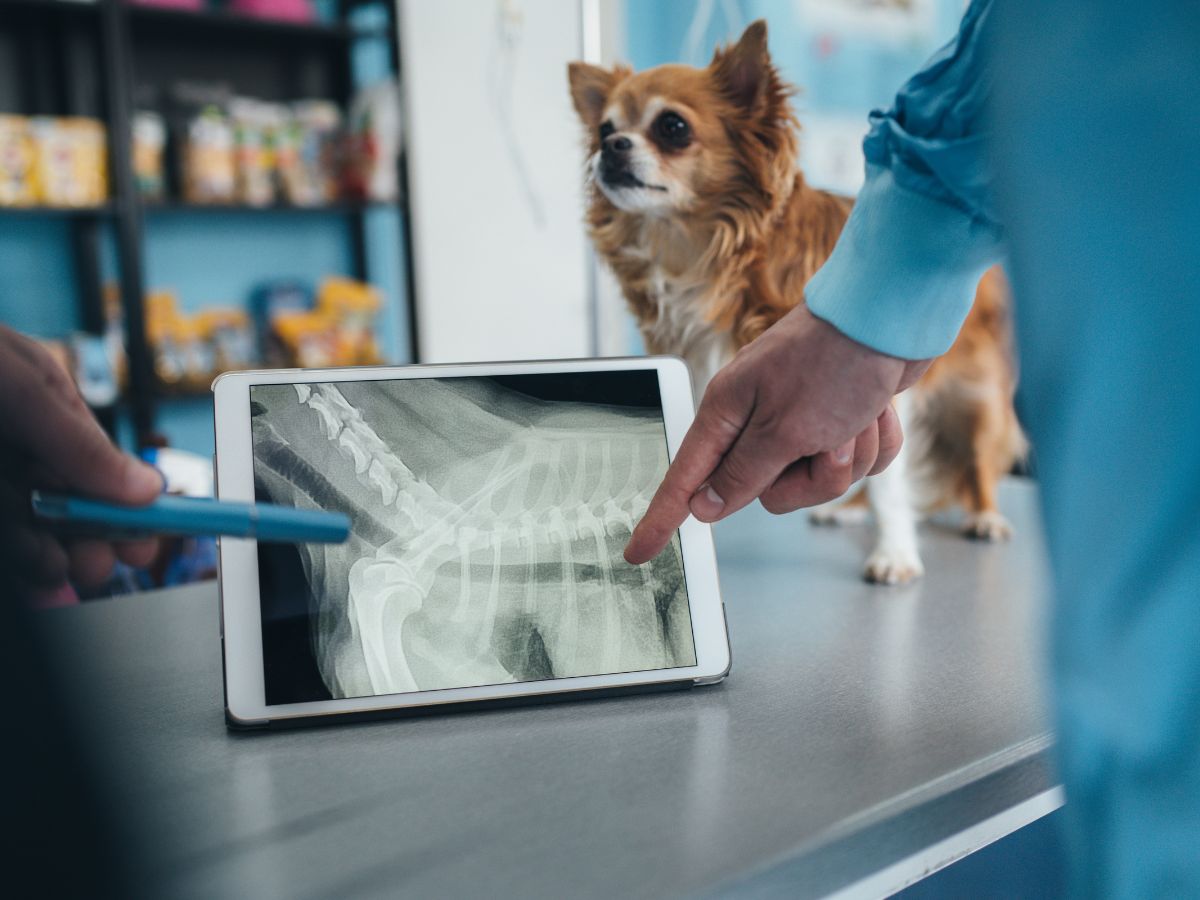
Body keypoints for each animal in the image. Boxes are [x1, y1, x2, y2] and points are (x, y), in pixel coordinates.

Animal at [568, 21, 1022, 588]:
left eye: (672, 126)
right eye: (604, 127)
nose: (610, 146)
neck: (700, 254)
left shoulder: (865, 393)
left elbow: (892, 488)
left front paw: (895, 553)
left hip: (979, 401)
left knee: (977, 465)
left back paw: (985, 516)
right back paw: (845, 509)